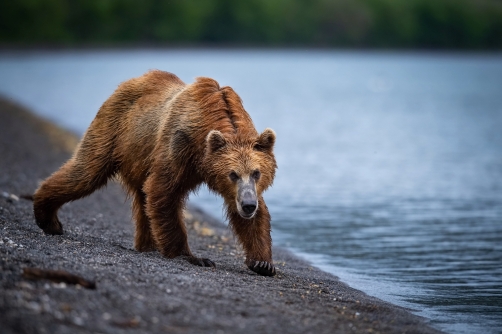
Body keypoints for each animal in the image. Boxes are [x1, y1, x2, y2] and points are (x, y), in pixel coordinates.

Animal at [32, 70, 276, 276]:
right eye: (233, 174)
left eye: (256, 173)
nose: (248, 205)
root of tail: (130, 81)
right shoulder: (179, 144)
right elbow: (163, 191)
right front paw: (192, 256)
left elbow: (255, 217)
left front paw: (263, 263)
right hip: (113, 129)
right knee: (86, 172)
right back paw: (48, 219)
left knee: (142, 199)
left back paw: (147, 245)